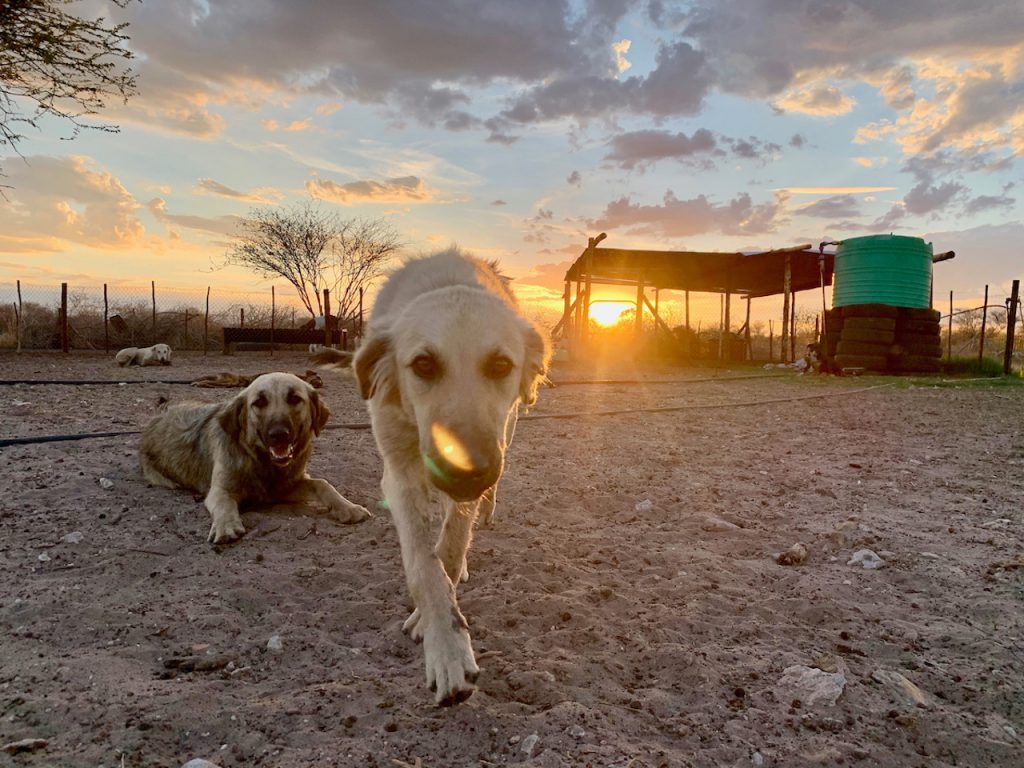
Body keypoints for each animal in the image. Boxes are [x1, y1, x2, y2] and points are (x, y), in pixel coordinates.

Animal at [138, 370, 370, 540]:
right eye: (259, 402)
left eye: (294, 398)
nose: (279, 435)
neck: (263, 462)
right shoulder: (221, 490)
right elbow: (224, 504)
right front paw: (226, 525)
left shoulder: (286, 487)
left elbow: (323, 484)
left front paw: (348, 506)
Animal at [315, 249, 552, 708]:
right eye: (423, 364)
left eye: (500, 364)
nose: (468, 472)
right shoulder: (399, 476)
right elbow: (422, 565)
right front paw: (445, 644)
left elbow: (451, 546)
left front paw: (439, 620)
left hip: (509, 430)